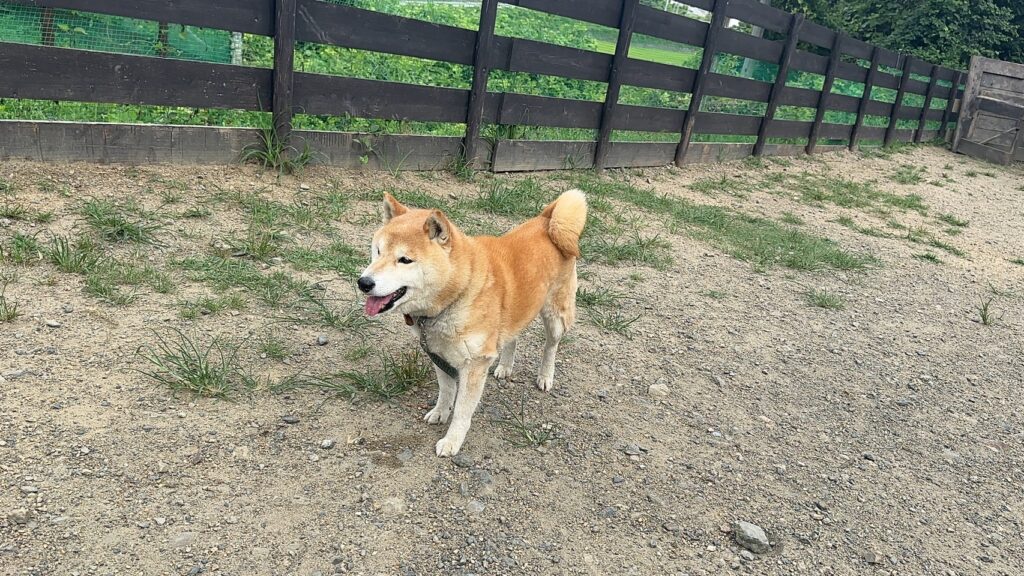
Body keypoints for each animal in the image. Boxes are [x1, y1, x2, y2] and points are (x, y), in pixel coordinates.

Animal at [358, 189, 587, 457]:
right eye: (378, 251)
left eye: (405, 260)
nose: (363, 282)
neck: (458, 291)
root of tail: (548, 220)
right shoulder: (439, 355)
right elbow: (446, 392)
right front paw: (440, 412)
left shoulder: (475, 364)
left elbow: (462, 411)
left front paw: (452, 440)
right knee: (512, 337)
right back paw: (505, 366)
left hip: (555, 317)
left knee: (550, 347)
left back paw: (545, 376)